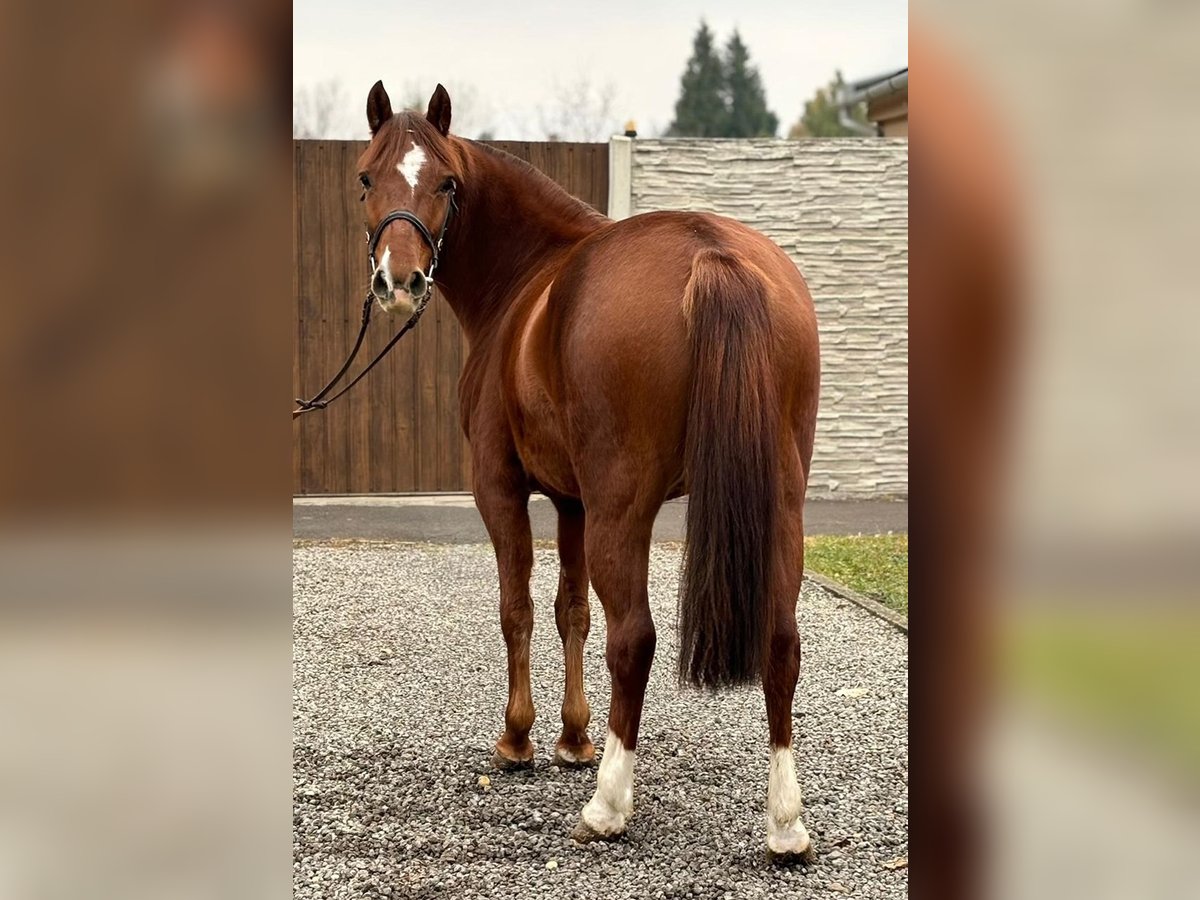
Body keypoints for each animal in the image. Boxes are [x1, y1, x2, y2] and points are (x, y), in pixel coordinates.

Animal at [355, 84, 820, 859]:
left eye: (446, 182)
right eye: (367, 178)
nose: (399, 279)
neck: (526, 280)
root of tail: (710, 252)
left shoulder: (501, 489)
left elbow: (517, 607)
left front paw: (518, 740)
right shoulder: (571, 500)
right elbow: (569, 609)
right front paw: (573, 738)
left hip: (621, 510)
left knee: (633, 638)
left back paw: (607, 805)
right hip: (780, 502)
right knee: (780, 639)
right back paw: (785, 825)